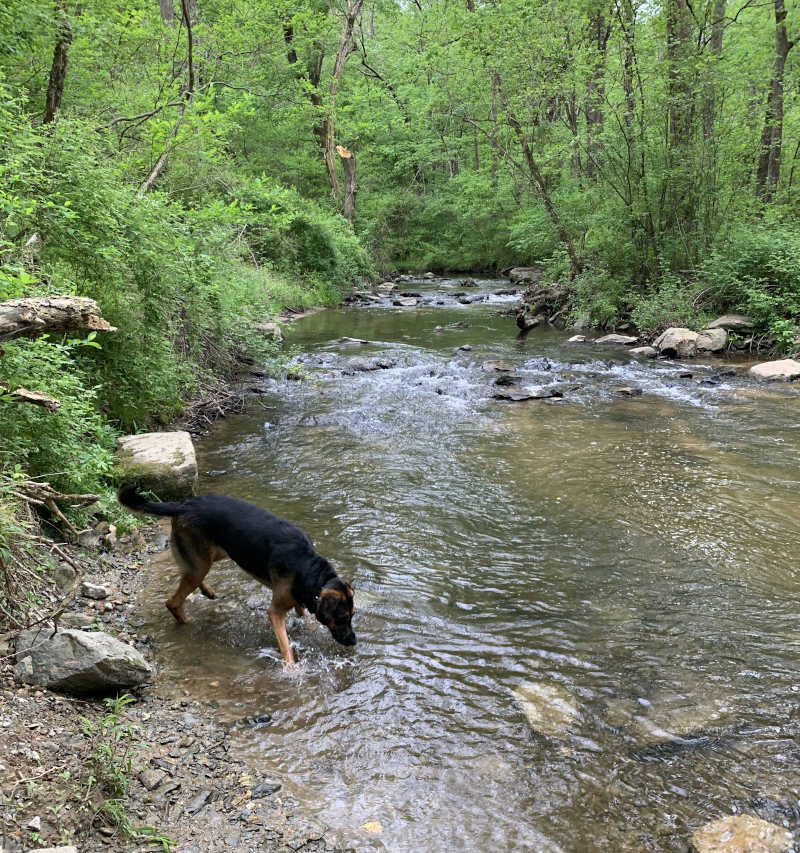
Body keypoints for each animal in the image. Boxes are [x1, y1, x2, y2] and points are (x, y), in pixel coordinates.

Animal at [119, 482, 356, 664]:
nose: (354, 642)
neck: (308, 567)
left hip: (214, 554)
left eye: (352, 616)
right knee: (173, 601)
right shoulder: (276, 611)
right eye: (342, 617)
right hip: (202, 560)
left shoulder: (297, 597)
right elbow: (285, 646)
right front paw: (292, 670)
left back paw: (207, 591)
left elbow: (305, 617)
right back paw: (187, 623)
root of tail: (183, 503)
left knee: (186, 572)